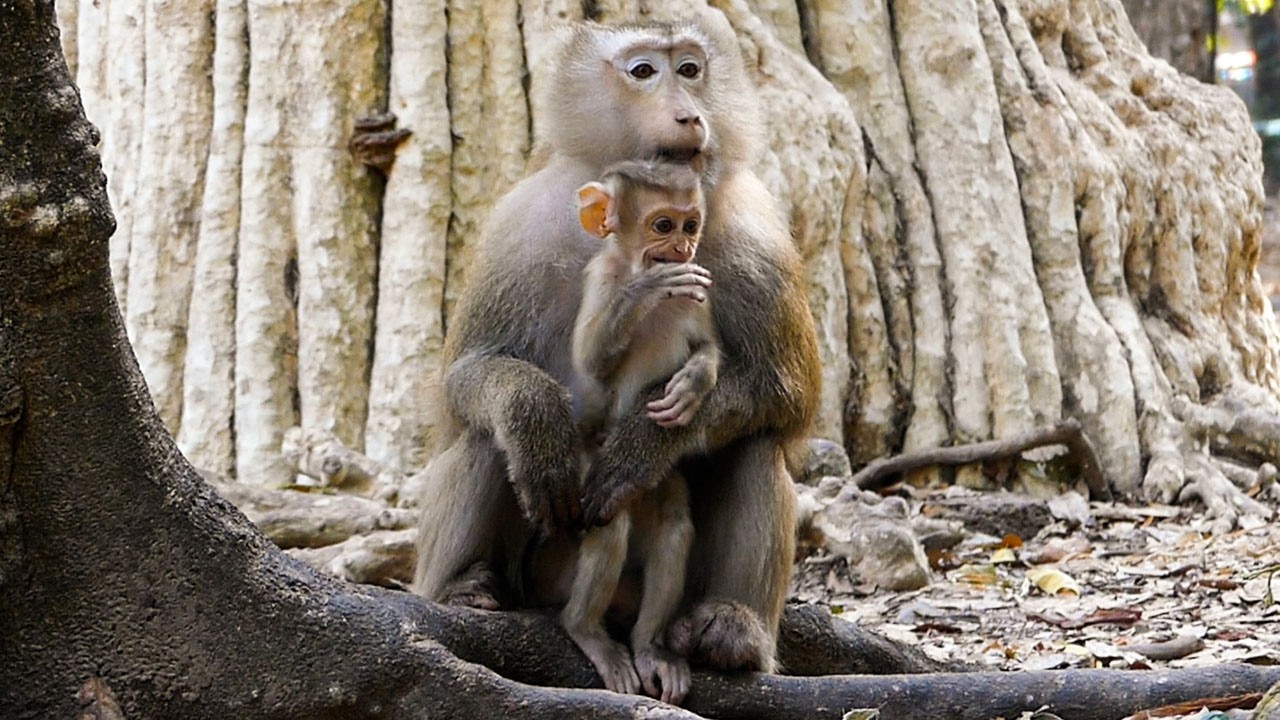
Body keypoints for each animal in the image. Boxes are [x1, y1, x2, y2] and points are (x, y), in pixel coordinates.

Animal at [561, 159, 713, 704]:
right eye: (663, 225)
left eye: (691, 225)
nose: (683, 248)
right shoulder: (601, 278)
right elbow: (590, 361)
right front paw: (647, 289)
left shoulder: (699, 291)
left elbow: (706, 344)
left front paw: (695, 382)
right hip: (595, 470)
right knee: (610, 521)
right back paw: (585, 630)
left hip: (652, 482)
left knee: (673, 523)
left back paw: (650, 647)